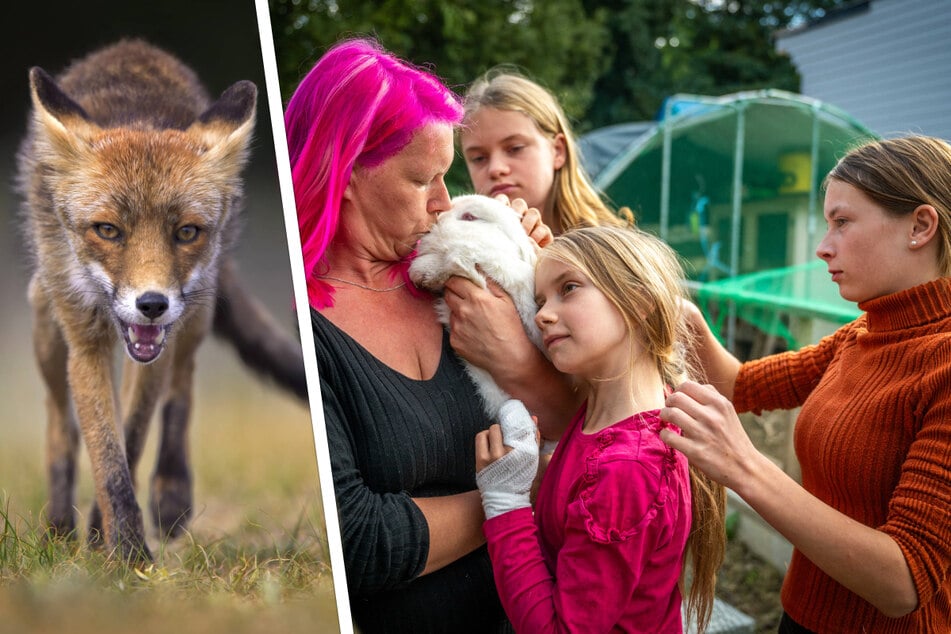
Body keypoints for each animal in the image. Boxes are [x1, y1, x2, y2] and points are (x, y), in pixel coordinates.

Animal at [16, 39, 307, 563]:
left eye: (186, 232)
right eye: (108, 230)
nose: (151, 304)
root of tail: (133, 46)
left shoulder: (158, 346)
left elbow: (130, 440)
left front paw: (112, 543)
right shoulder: (85, 344)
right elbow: (106, 454)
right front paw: (125, 550)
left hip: (197, 312)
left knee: (182, 390)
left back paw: (170, 495)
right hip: (45, 316)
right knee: (60, 424)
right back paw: (58, 528)